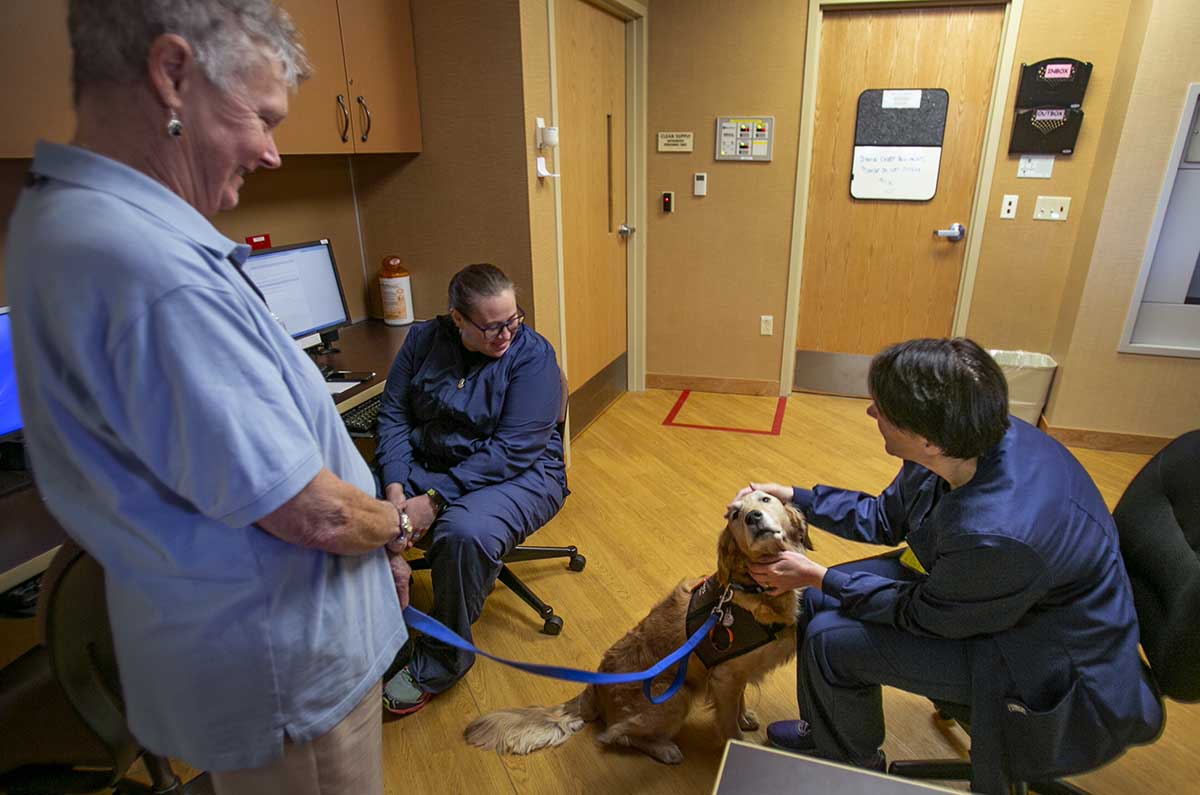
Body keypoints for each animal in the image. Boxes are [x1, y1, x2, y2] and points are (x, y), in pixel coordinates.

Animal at [463, 492, 811, 768]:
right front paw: (737, 743)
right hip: (675, 694)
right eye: (736, 515)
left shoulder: (733, 673)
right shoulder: (725, 677)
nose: (753, 517)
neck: (755, 590)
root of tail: (594, 688)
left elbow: (739, 701)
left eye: (765, 499)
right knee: (616, 735)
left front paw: (745, 717)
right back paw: (665, 749)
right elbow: (728, 724)